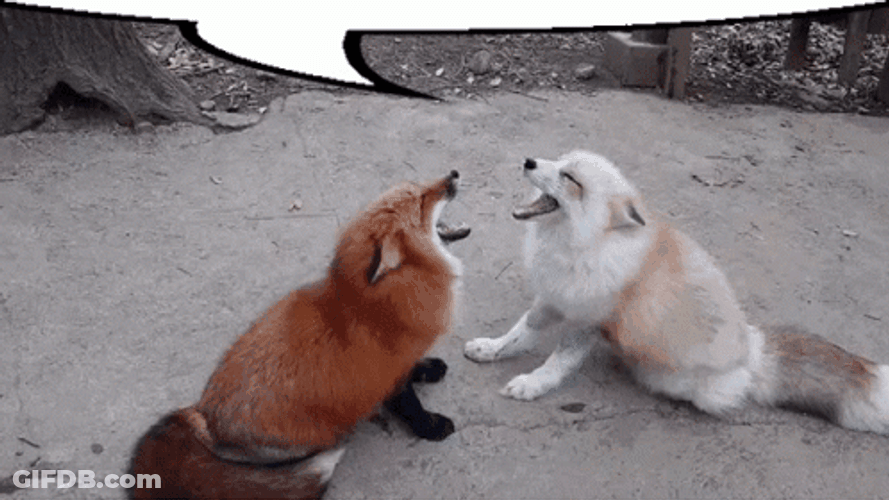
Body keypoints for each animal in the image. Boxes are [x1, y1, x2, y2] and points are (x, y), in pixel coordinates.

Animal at [129, 170, 470, 499]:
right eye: (422, 201)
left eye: (419, 186)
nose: (454, 173)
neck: (375, 303)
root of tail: (204, 419)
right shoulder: (388, 376)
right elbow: (411, 408)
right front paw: (431, 428)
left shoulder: (402, 361)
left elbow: (416, 369)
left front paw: (429, 369)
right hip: (315, 436)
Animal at [465, 150, 889, 435]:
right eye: (557, 160)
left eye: (570, 178)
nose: (529, 161)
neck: (582, 248)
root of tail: (752, 350)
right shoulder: (555, 299)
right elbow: (518, 333)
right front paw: (491, 349)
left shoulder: (589, 320)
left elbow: (557, 364)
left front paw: (532, 385)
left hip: (679, 381)